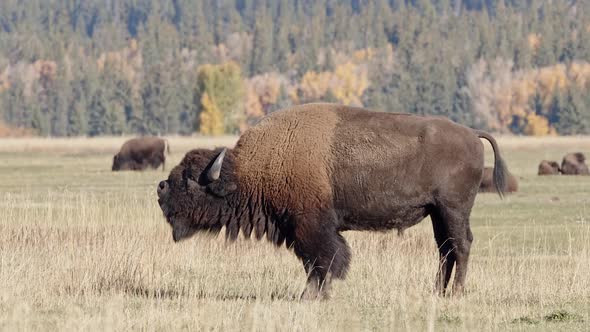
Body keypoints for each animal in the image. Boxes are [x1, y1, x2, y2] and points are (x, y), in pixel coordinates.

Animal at [157, 103, 508, 298]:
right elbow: (316, 262)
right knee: (445, 249)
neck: (250, 168)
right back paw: (438, 291)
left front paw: (310, 295)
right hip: (437, 213)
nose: (161, 188)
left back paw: (456, 293)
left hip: (453, 209)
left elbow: (323, 260)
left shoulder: (310, 226)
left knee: (460, 246)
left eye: (189, 178)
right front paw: (315, 294)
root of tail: (471, 134)